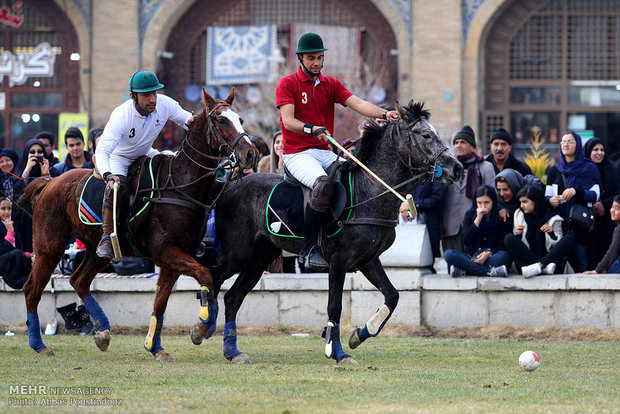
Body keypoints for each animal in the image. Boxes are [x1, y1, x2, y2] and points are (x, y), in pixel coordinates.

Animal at [20, 87, 256, 360]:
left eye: (240, 119)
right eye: (221, 120)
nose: (251, 154)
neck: (180, 185)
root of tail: (49, 182)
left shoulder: (173, 257)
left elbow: (161, 302)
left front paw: (156, 347)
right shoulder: (165, 251)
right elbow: (205, 274)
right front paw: (200, 328)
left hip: (100, 251)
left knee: (78, 280)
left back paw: (103, 332)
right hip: (49, 246)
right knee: (32, 289)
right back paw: (39, 345)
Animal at [193, 102, 460, 364]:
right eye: (425, 134)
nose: (456, 168)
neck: (370, 190)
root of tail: (229, 185)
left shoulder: (368, 260)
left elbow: (392, 296)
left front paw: (360, 334)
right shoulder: (338, 261)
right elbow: (335, 307)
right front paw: (337, 352)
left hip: (261, 256)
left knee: (232, 297)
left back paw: (232, 351)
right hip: (239, 252)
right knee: (213, 277)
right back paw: (202, 328)